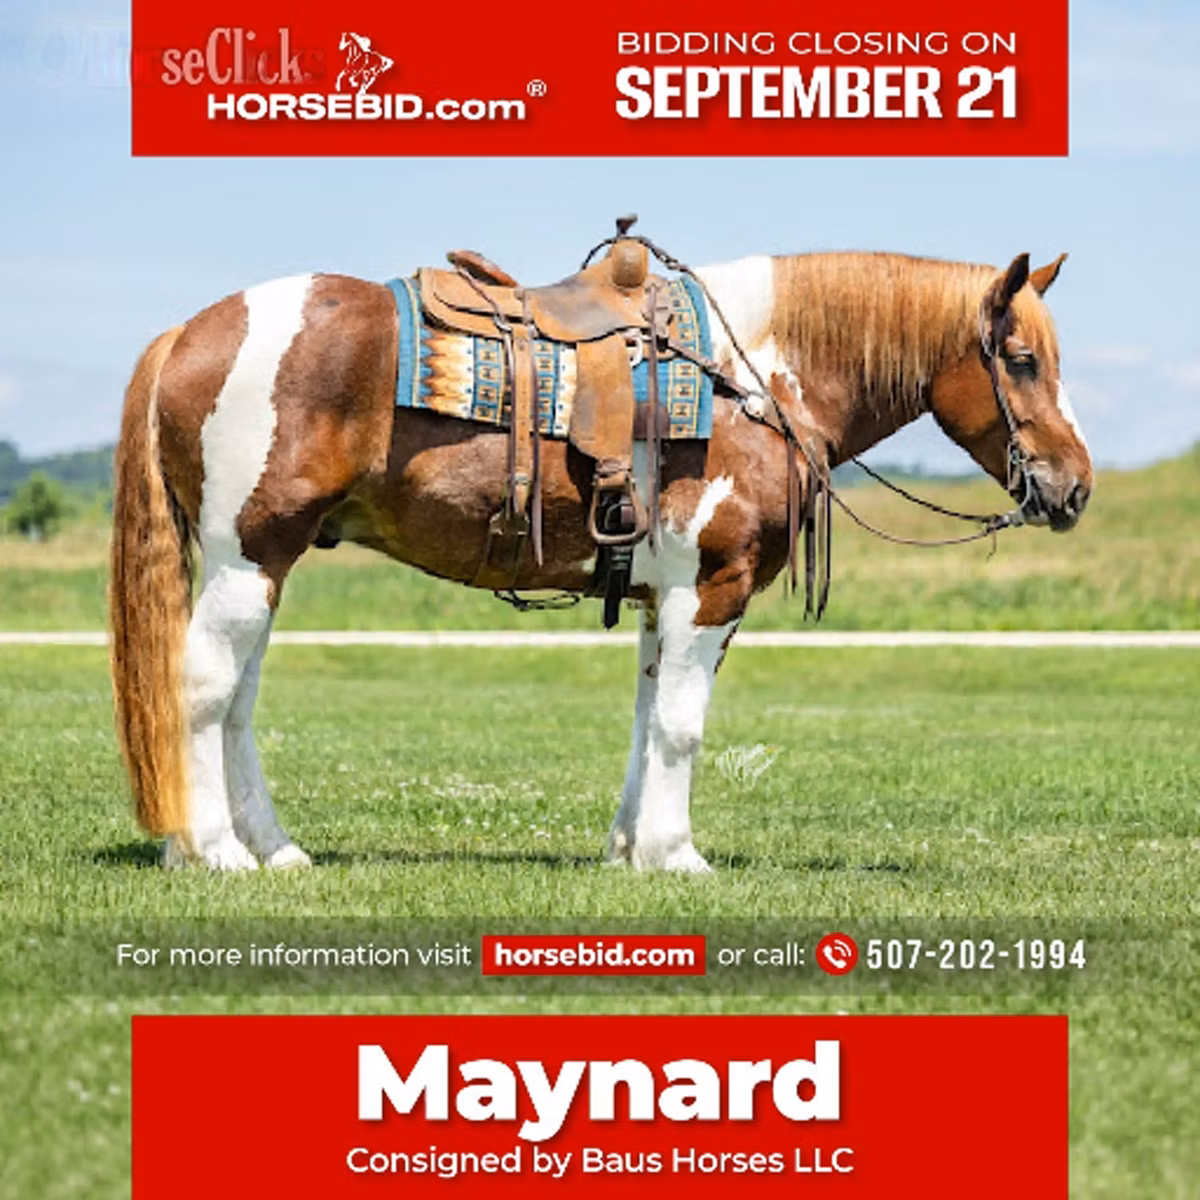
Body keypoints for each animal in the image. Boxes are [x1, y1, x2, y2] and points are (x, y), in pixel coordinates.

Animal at [109, 244, 1092, 872]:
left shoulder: (666, 600)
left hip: (263, 568)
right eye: (1020, 358)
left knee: (237, 705)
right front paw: (676, 855)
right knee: (204, 691)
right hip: (246, 561)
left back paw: (271, 849)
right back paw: (216, 853)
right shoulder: (711, 587)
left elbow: (648, 720)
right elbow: (683, 726)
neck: (754, 377)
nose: (1075, 487)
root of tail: (189, 332)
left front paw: (629, 848)